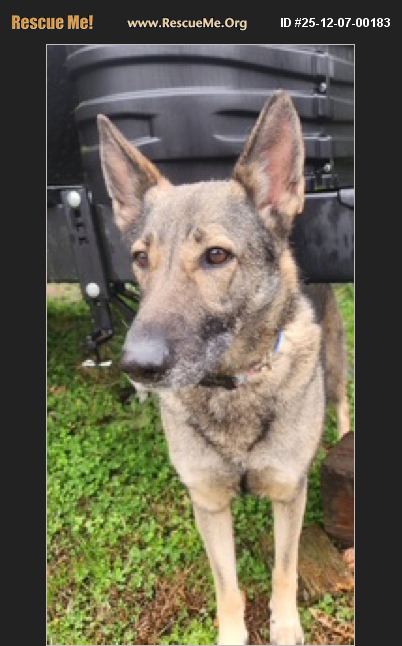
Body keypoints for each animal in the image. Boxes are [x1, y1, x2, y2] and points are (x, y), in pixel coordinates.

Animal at [97, 91, 349, 645]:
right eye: (141, 258)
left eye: (216, 256)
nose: (135, 365)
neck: (233, 386)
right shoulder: (209, 505)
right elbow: (227, 586)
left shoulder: (289, 495)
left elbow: (284, 569)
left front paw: (284, 624)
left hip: (336, 367)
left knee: (342, 404)